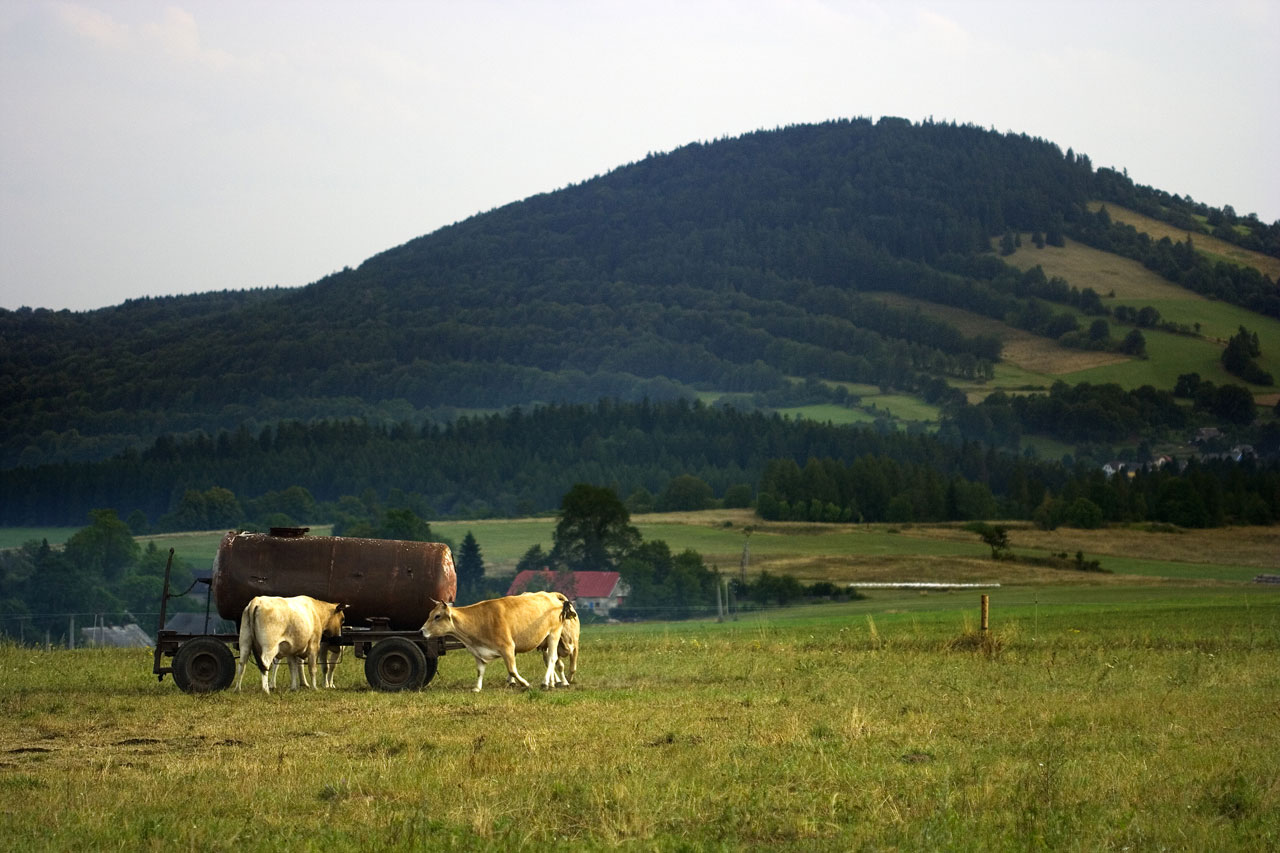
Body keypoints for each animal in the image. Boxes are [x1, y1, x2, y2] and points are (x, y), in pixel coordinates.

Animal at [419, 591, 570, 691]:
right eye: (430, 614)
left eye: (437, 616)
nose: (421, 631)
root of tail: (551, 595)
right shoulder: (477, 651)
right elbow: (480, 670)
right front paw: (477, 688)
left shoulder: (508, 647)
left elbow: (512, 670)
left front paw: (525, 684)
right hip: (545, 640)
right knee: (551, 659)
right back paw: (551, 682)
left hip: (554, 634)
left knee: (552, 658)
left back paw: (545, 683)